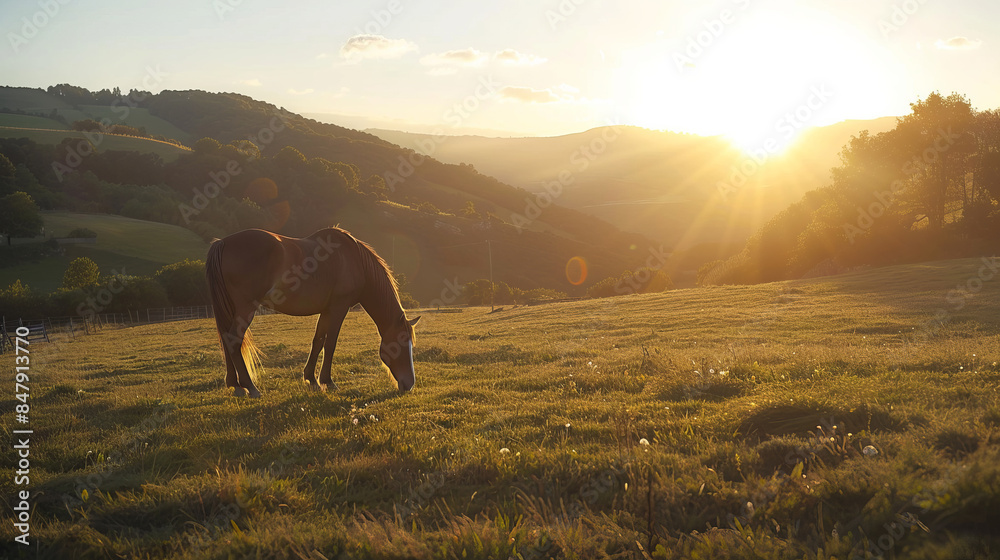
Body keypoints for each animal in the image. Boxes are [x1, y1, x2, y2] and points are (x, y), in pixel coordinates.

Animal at [205, 227, 420, 397]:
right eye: (400, 344)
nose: (409, 384)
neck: (355, 260)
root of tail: (222, 243)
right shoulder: (339, 308)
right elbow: (330, 344)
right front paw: (328, 382)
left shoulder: (326, 311)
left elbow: (318, 342)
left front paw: (312, 380)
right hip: (246, 307)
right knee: (234, 338)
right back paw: (250, 387)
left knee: (226, 339)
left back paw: (235, 385)